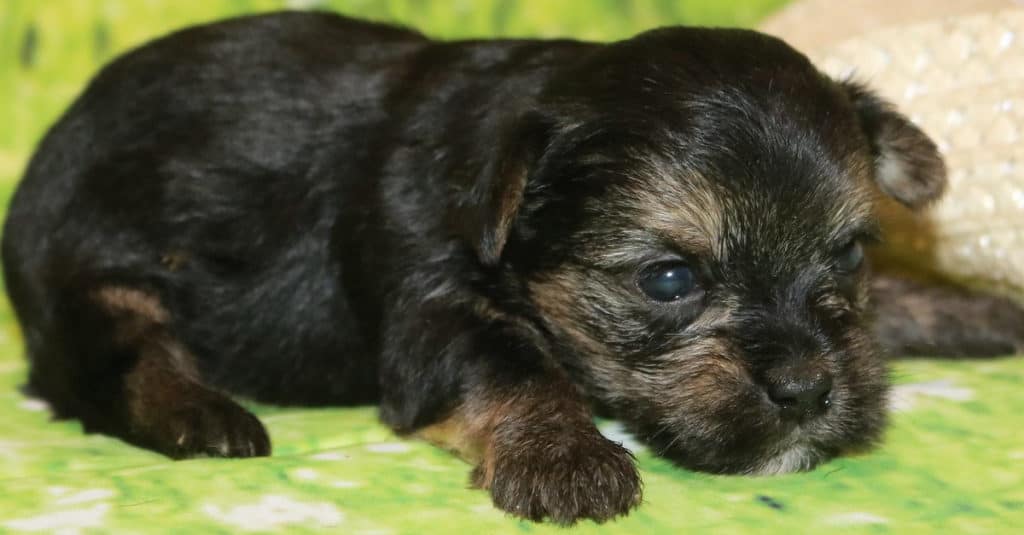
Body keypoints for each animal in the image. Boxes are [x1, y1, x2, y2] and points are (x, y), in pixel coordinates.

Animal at [2, 10, 1024, 522]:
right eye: (668, 280)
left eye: (847, 254)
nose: (811, 389)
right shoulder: (432, 307)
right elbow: (514, 362)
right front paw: (565, 455)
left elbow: (904, 302)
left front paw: (983, 312)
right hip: (92, 271)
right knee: (113, 357)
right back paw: (202, 413)